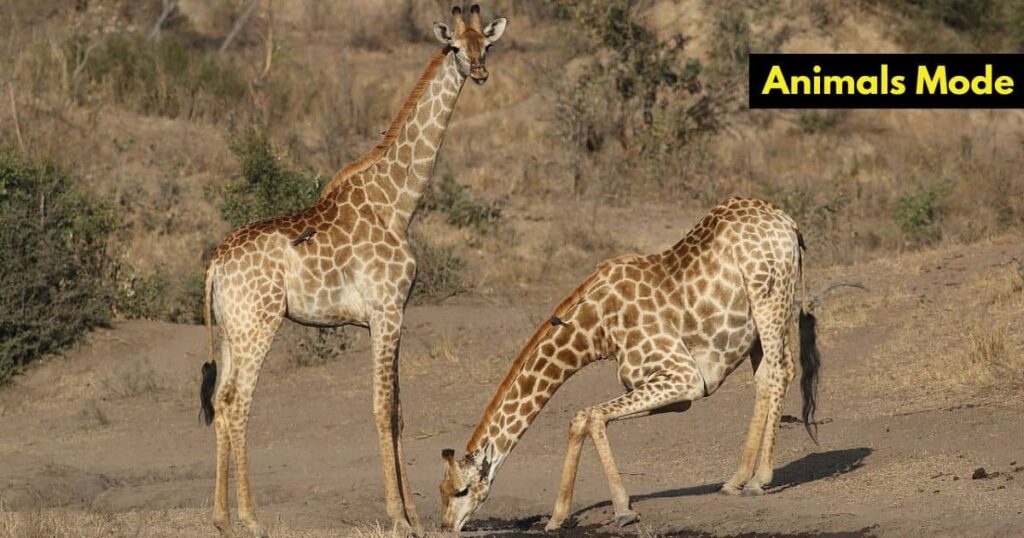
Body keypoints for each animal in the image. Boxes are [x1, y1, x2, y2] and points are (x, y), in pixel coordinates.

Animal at [197, 5, 507, 537]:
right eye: (454, 47)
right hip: (259, 324)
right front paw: (398, 517)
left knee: (220, 400)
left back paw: (221, 519)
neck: (397, 203)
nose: (480, 72)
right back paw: (252, 519)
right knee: (238, 404)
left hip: (231, 330)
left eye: (484, 45)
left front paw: (413, 517)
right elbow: (383, 410)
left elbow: (399, 410)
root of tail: (215, 265)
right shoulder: (386, 310)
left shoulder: (391, 314)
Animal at [438, 198, 822, 532]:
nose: (445, 526)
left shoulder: (683, 377)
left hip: (769, 298)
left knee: (780, 371)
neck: (597, 331)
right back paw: (737, 479)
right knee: (766, 378)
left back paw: (759, 481)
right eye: (441, 491)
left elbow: (592, 414)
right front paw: (557, 518)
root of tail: (789, 224)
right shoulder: (664, 391)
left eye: (461, 490)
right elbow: (583, 417)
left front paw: (623, 511)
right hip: (758, 321)